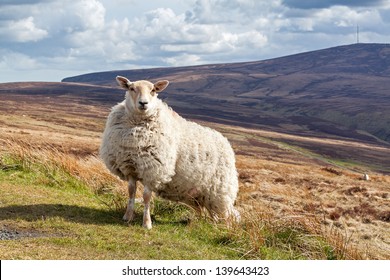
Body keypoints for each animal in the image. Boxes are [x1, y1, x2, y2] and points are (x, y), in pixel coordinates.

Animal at [100, 75, 241, 229]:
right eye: (132, 88)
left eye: (153, 90)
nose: (143, 103)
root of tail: (225, 141)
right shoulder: (130, 167)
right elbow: (131, 192)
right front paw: (127, 217)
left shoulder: (153, 170)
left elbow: (146, 196)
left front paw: (147, 223)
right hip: (200, 195)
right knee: (206, 212)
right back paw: (199, 223)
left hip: (220, 192)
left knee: (226, 216)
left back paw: (223, 228)